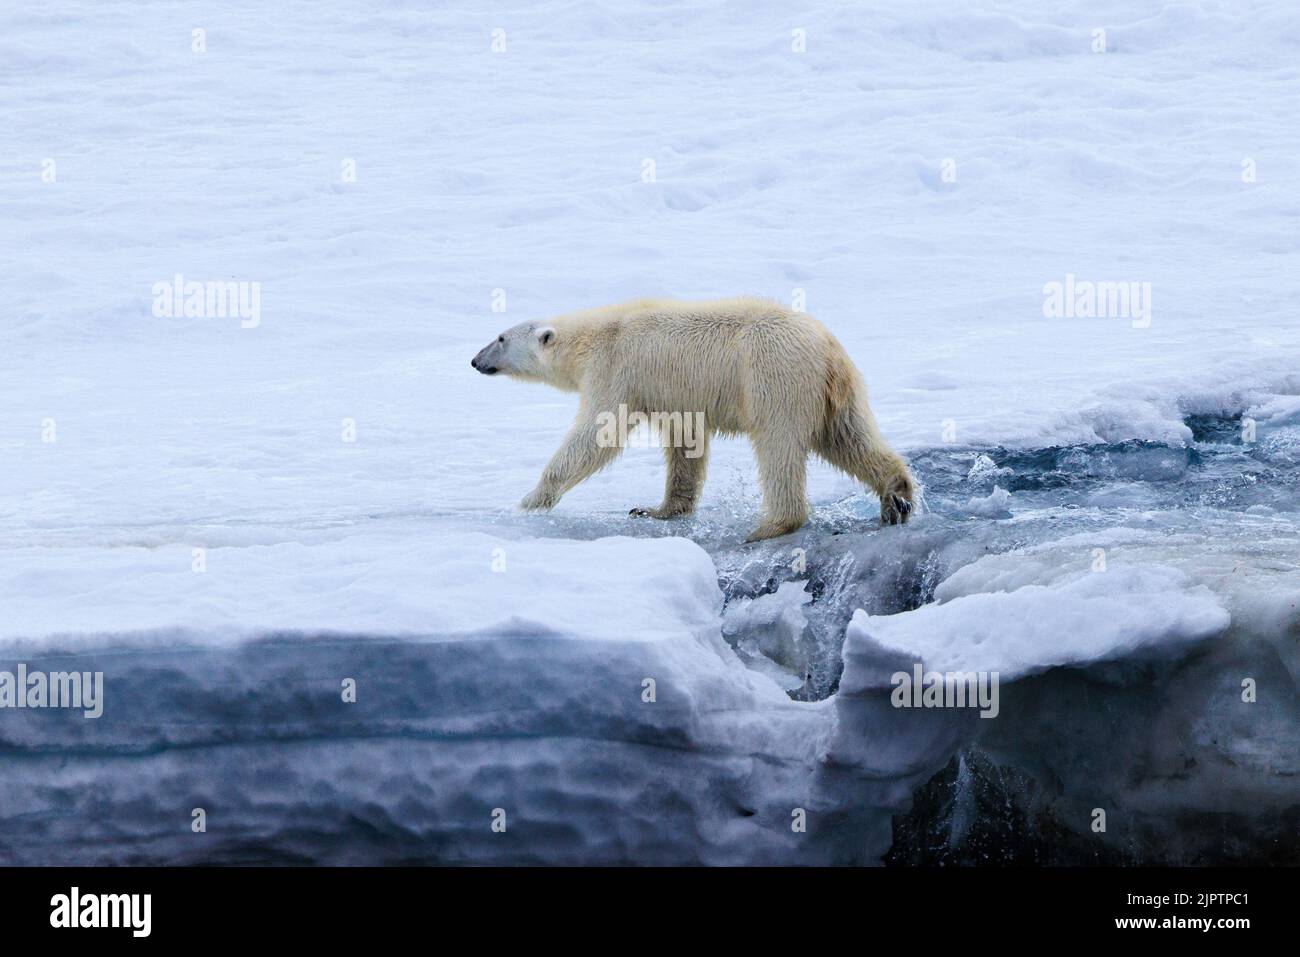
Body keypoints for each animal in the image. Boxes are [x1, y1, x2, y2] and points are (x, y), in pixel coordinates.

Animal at [470, 299, 915, 538]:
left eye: (501, 337)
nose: (475, 360)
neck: (592, 337)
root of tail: (829, 350)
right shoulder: (673, 395)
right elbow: (685, 441)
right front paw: (655, 509)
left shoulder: (614, 369)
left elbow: (599, 433)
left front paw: (531, 500)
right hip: (836, 394)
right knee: (849, 437)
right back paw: (897, 496)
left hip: (773, 376)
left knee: (778, 446)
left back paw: (770, 525)